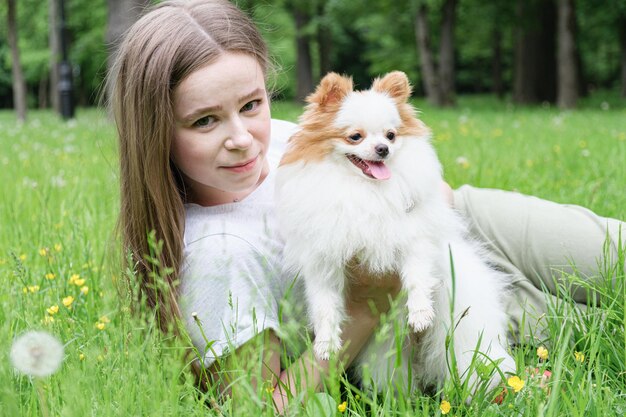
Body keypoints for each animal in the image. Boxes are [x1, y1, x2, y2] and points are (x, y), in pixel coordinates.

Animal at [272, 70, 512, 392]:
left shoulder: (414, 241)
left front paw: (420, 313)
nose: (383, 149)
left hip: (465, 339)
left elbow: (417, 277)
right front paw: (326, 342)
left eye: (391, 135)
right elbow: (324, 303)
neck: (365, 189)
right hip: (387, 361)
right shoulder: (323, 261)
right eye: (356, 136)